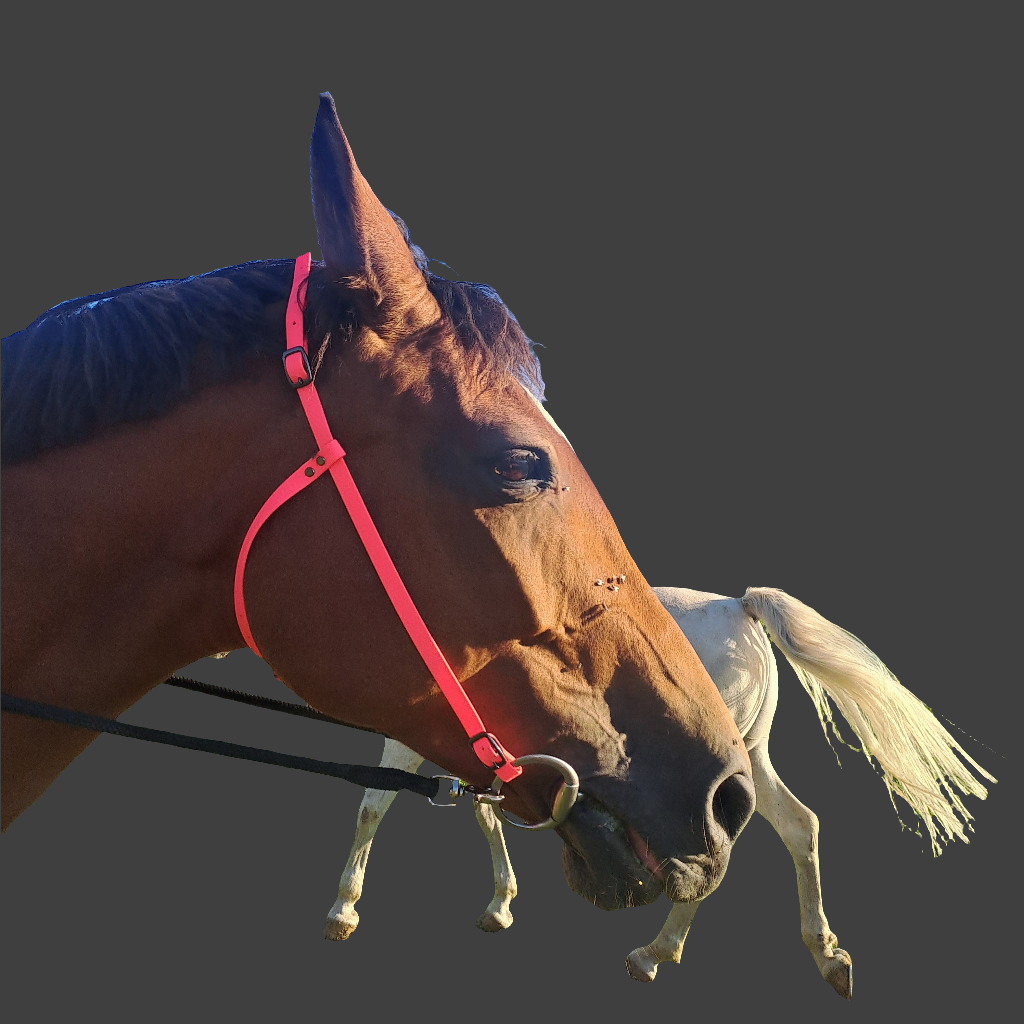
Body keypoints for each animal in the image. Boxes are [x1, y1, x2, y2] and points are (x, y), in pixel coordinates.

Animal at [324, 586, 995, 999]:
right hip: (748, 760)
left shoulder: (412, 747)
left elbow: (371, 809)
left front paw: (343, 911)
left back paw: (653, 953)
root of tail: (738, 609)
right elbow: (483, 819)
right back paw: (826, 957)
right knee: (799, 827)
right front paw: (499, 904)